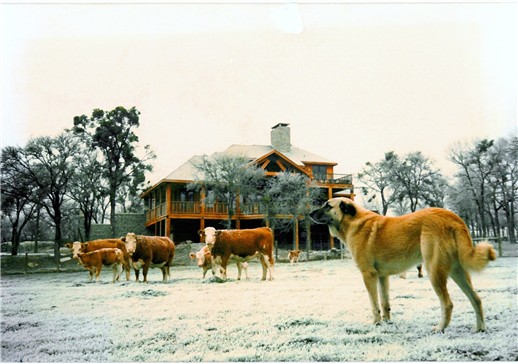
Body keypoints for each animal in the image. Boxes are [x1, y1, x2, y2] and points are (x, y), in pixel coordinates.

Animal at [310, 198, 498, 332]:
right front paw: (387, 323)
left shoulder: (368, 275)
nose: (310, 213)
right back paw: (480, 328)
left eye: (327, 205)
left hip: (434, 271)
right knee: (476, 299)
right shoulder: (382, 277)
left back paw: (440, 328)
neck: (353, 222)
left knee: (448, 303)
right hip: (456, 272)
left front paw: (376, 324)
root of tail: (451, 216)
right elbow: (385, 303)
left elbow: (374, 304)